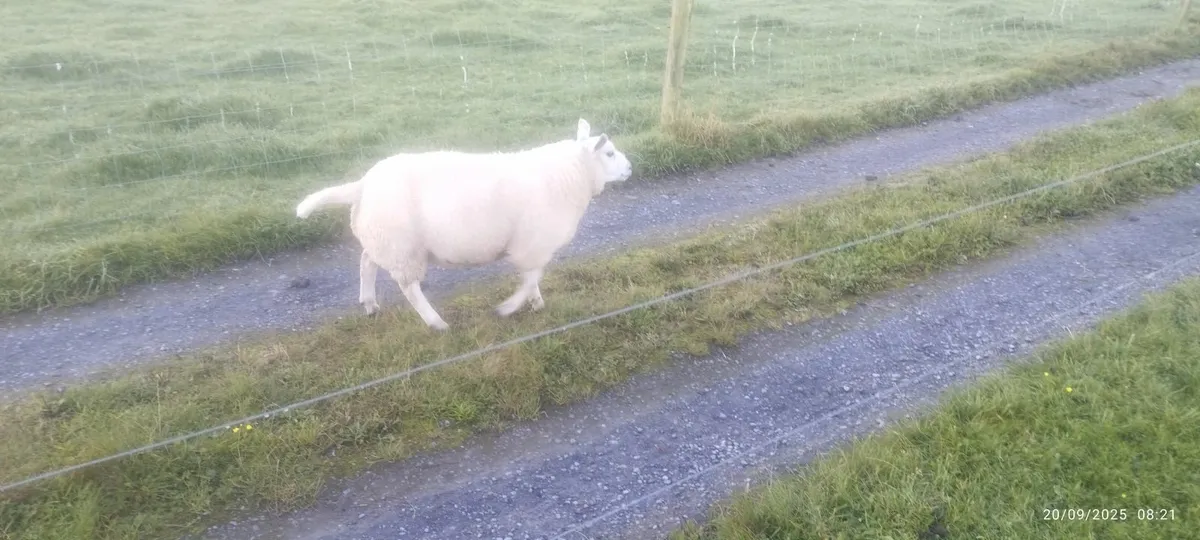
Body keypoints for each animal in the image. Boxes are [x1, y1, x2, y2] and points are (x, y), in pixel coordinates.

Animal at [294, 118, 633, 330]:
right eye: (609, 152)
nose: (631, 168)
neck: (569, 175)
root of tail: (363, 185)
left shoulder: (530, 246)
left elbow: (532, 277)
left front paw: (535, 303)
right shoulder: (532, 243)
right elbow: (530, 277)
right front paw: (510, 308)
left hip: (384, 238)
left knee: (367, 262)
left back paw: (370, 303)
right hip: (403, 246)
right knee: (409, 287)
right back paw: (436, 323)